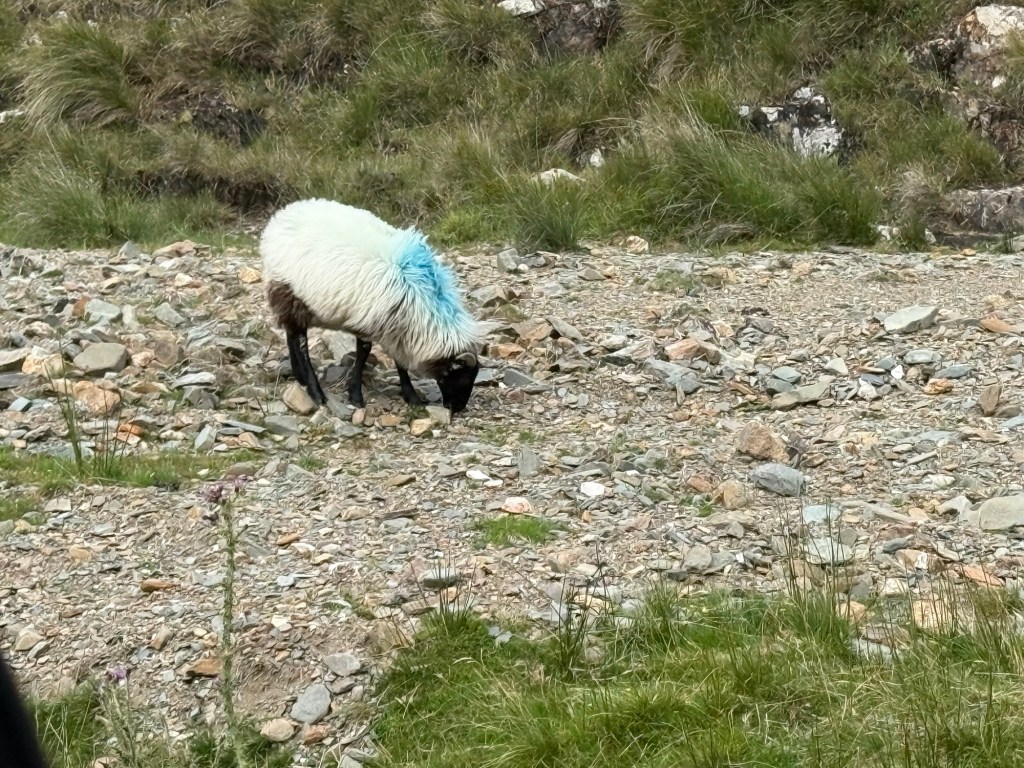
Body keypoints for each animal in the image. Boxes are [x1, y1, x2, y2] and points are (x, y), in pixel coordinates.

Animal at [260, 198, 494, 413]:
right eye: (462, 377)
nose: (457, 408)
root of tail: (282, 214)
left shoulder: (398, 330)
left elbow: (400, 362)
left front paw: (411, 396)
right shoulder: (371, 320)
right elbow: (364, 352)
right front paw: (356, 396)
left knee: (291, 336)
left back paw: (299, 377)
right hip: (289, 293)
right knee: (300, 343)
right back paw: (316, 392)